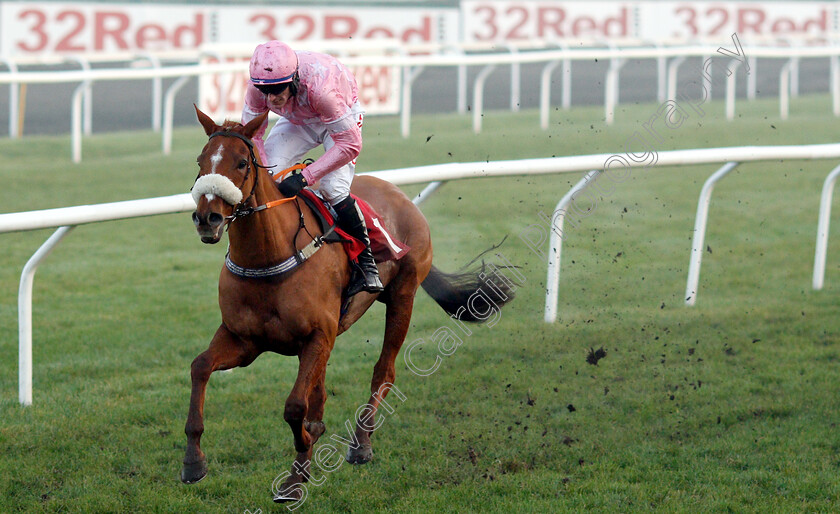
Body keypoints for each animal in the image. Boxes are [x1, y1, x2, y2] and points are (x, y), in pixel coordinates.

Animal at [180, 106, 516, 498]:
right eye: (201, 161)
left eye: (241, 163)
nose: (208, 218)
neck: (267, 257)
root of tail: (401, 197)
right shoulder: (244, 339)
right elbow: (200, 367)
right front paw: (193, 462)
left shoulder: (316, 336)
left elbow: (295, 407)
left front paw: (296, 473)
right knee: (320, 390)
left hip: (402, 295)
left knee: (383, 372)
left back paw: (361, 444)